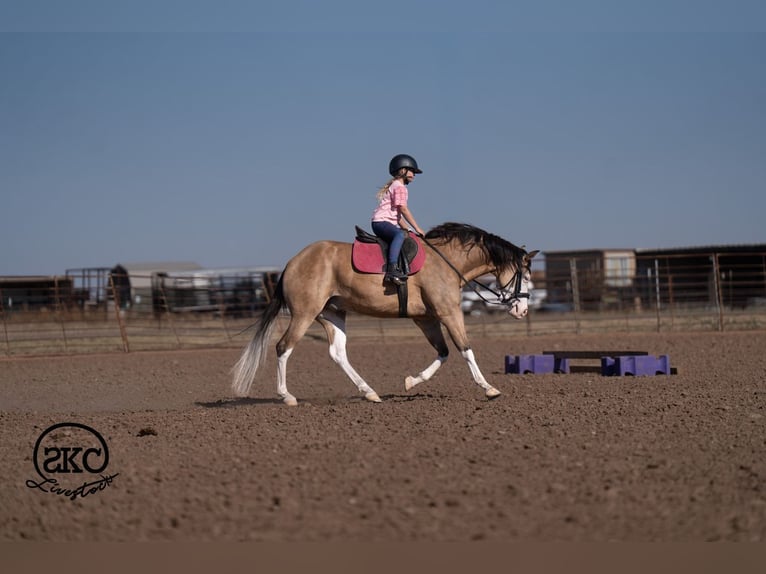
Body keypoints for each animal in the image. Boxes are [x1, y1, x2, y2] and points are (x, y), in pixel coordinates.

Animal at [231, 222, 538, 405]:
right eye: (525, 276)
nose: (522, 310)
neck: (448, 262)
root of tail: (293, 262)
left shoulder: (426, 319)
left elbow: (443, 352)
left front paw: (411, 382)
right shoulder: (449, 313)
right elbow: (465, 349)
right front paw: (488, 388)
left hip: (332, 314)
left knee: (337, 353)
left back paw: (369, 392)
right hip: (304, 314)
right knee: (283, 347)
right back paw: (287, 396)